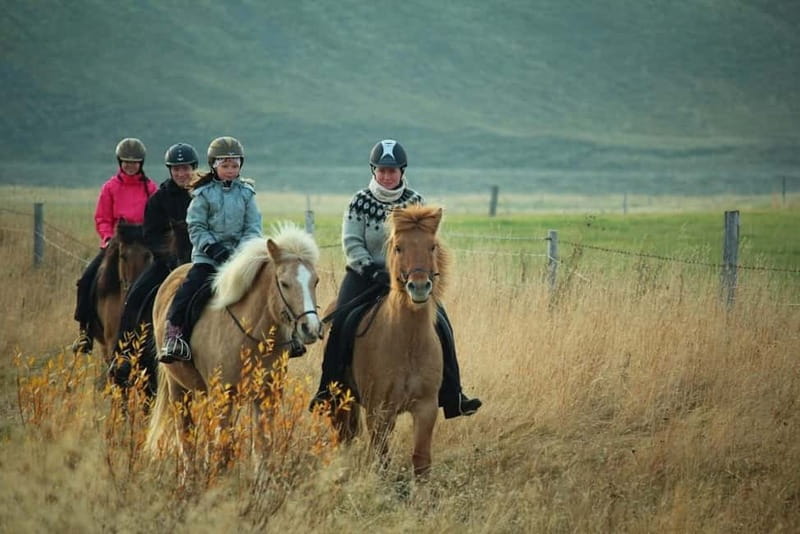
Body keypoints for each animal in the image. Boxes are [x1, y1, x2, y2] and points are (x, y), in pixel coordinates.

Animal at [146, 224, 323, 462]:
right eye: (284, 283)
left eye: (315, 281)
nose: (310, 328)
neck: (252, 338)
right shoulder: (223, 395)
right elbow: (223, 450)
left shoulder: (267, 395)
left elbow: (263, 447)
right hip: (178, 388)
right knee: (185, 439)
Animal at [332, 205, 449, 476]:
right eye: (398, 247)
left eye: (432, 246)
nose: (419, 287)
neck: (408, 342)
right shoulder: (378, 411)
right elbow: (381, 459)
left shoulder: (426, 408)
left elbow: (421, 460)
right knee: (344, 435)